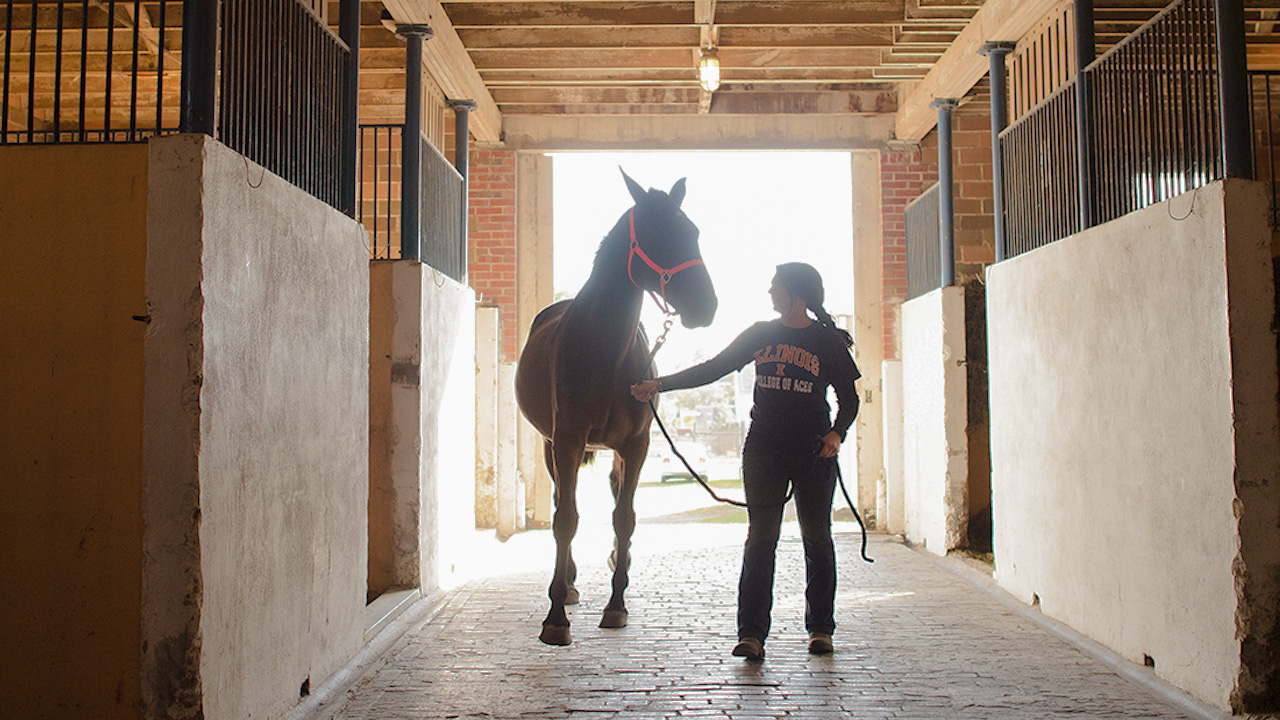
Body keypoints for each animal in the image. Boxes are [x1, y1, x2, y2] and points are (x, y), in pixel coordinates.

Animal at [519, 169, 721, 645]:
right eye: (655, 232)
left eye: (693, 232)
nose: (706, 305)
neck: (604, 351)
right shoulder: (568, 440)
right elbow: (565, 518)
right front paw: (556, 616)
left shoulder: (637, 444)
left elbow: (625, 518)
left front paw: (616, 604)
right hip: (550, 446)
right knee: (561, 499)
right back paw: (569, 582)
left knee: (614, 493)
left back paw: (617, 563)